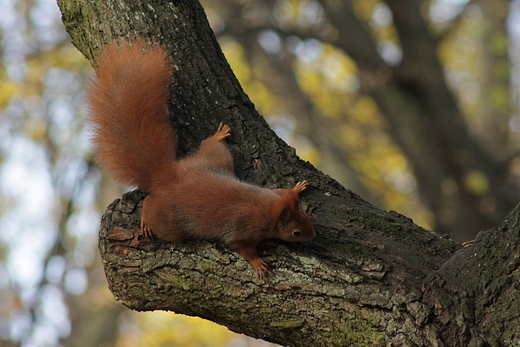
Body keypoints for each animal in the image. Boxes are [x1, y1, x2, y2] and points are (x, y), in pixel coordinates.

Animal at [86, 37, 314, 280]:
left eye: (304, 214)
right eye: (296, 232)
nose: (314, 235)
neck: (268, 209)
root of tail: (168, 177)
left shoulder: (274, 195)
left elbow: (283, 191)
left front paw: (297, 187)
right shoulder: (244, 232)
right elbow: (243, 248)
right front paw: (258, 263)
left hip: (213, 161)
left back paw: (218, 135)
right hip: (171, 223)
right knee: (150, 205)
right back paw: (146, 220)